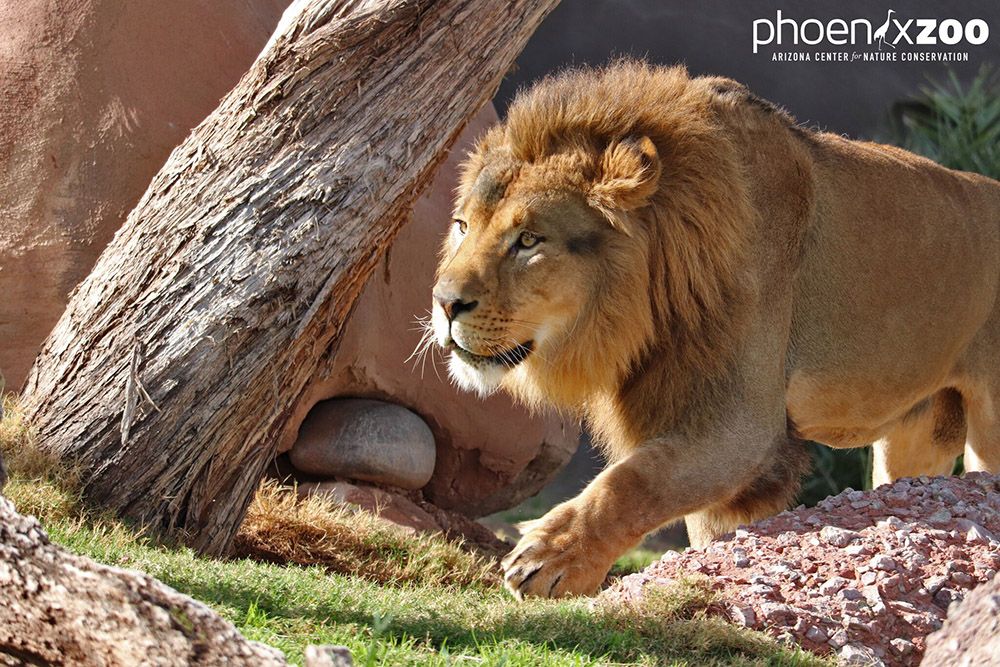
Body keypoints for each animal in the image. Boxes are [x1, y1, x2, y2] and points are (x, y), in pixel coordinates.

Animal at [430, 61, 1000, 599]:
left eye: (529, 240)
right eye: (462, 226)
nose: (444, 303)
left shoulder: (742, 424)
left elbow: (634, 480)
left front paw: (552, 557)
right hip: (914, 438)